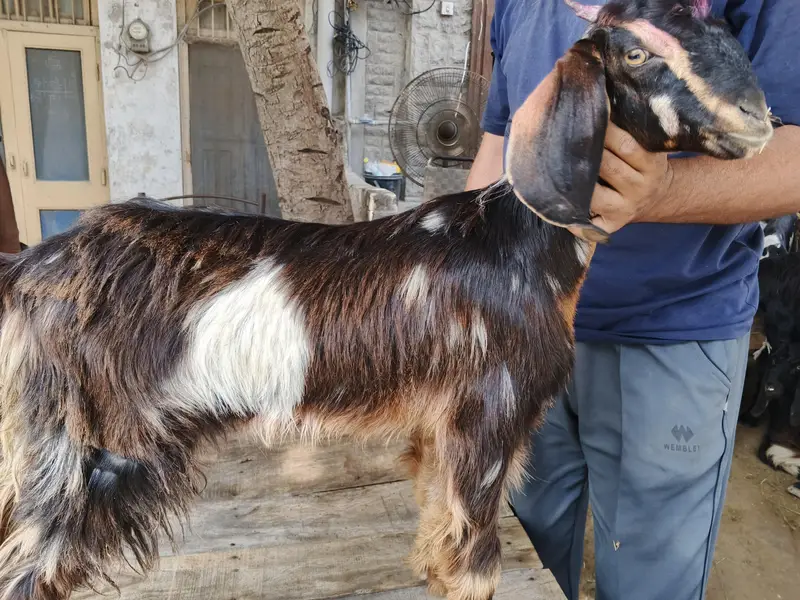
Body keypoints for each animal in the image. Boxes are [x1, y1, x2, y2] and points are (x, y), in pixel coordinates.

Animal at [0, 1, 776, 599]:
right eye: (636, 52)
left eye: (726, 31)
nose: (759, 117)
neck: (519, 243)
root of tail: (33, 270)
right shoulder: (487, 420)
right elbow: (475, 562)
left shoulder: (440, 431)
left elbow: (436, 533)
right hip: (88, 452)